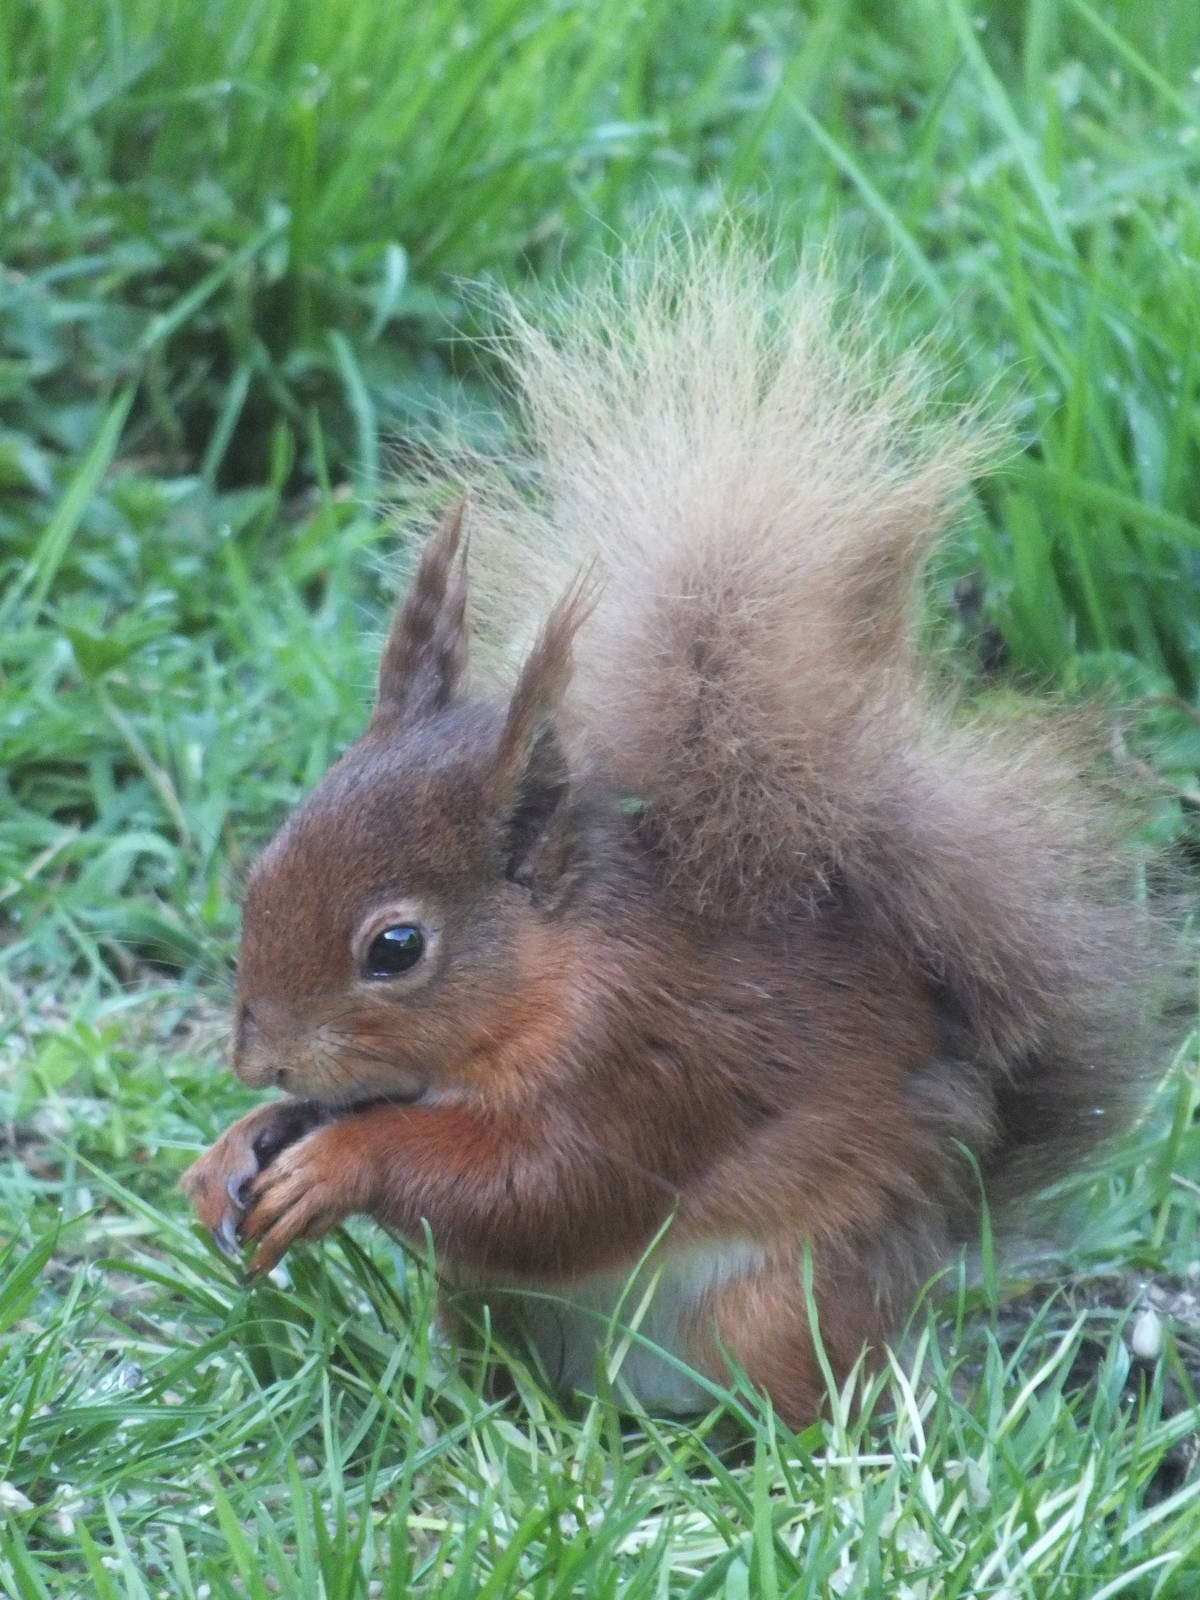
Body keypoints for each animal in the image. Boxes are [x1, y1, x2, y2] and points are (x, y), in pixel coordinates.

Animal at [182, 241, 1169, 1425]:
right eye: (264, 866)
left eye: (396, 948)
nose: (257, 1057)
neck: (554, 972)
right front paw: (232, 1151)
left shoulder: (648, 1062)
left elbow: (545, 1188)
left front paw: (338, 1166)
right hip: (489, 1307)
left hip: (779, 1308)